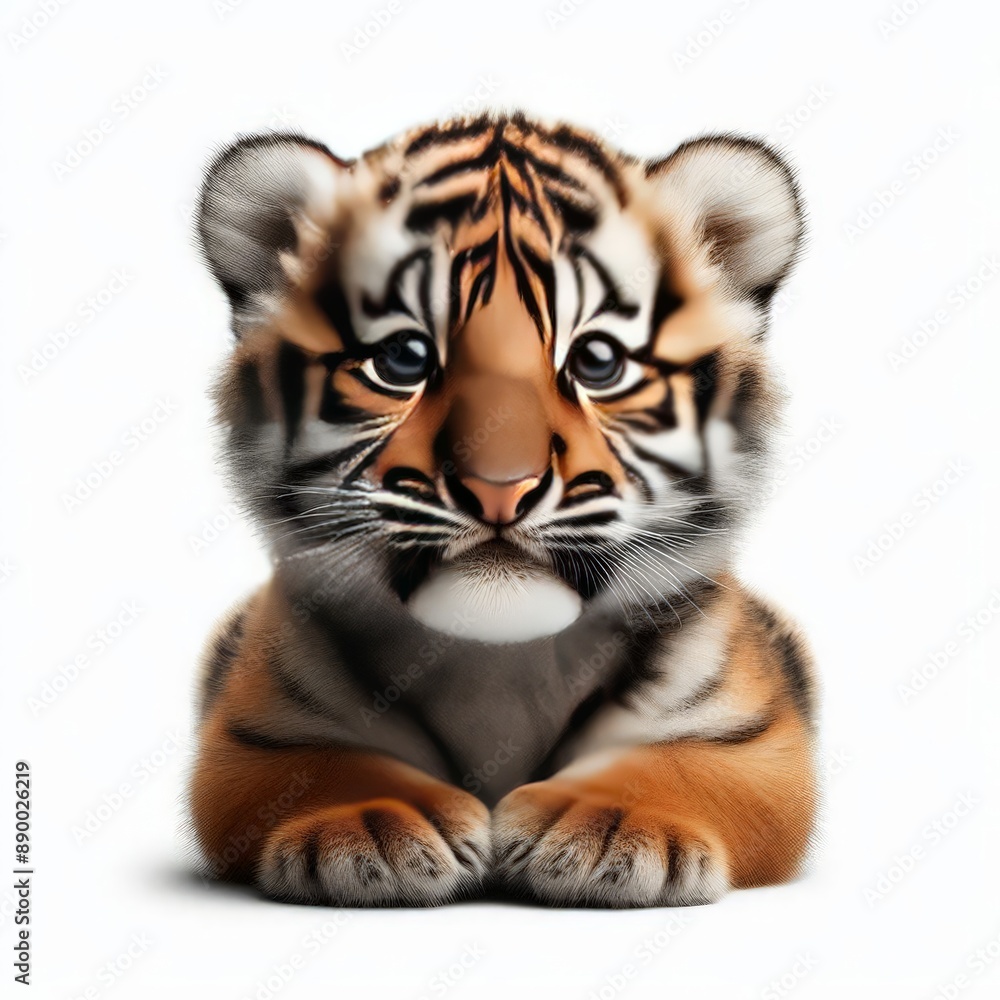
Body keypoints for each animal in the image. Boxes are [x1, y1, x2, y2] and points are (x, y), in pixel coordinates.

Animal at [188, 112, 817, 908]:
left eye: (598, 362)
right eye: (402, 358)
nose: (499, 485)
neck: (503, 664)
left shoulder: (752, 738)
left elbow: (672, 763)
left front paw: (606, 827)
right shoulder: (255, 733)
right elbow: (329, 763)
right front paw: (376, 824)